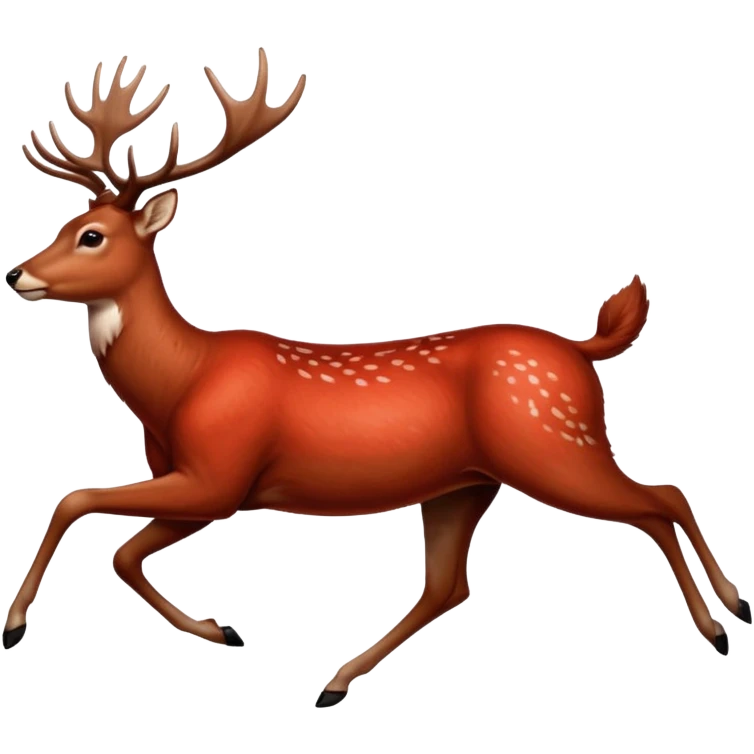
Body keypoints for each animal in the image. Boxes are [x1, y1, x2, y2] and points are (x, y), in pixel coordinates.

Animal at [5, 50, 750, 709]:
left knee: (659, 498)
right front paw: (220, 631)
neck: (179, 382)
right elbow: (122, 552)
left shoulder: (220, 474)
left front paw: (13, 625)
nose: (17, 273)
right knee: (450, 585)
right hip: (467, 482)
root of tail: (582, 350)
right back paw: (335, 682)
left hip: (553, 443)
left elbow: (77, 502)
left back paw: (722, 621)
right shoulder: (202, 483)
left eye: (92, 236)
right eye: (67, 222)